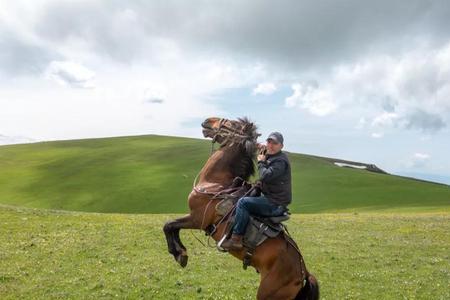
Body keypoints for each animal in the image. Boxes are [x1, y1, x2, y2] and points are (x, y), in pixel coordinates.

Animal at [163, 117, 318, 300]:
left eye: (231, 124)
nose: (208, 120)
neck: (215, 184)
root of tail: (304, 272)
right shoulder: (195, 218)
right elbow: (172, 227)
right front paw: (181, 253)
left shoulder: (198, 219)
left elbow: (169, 225)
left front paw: (179, 253)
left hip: (267, 293)